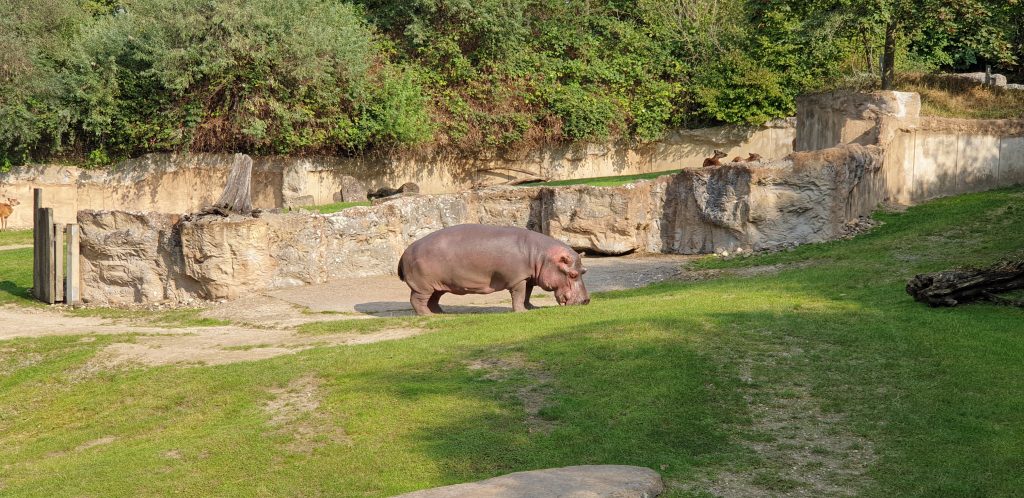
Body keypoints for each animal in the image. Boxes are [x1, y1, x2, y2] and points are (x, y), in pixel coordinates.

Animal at [398, 224, 590, 315]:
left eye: (584, 271)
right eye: (573, 274)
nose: (586, 300)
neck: (541, 255)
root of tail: (406, 251)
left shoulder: (527, 277)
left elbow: (527, 293)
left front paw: (531, 307)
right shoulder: (518, 279)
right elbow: (519, 295)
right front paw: (521, 311)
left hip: (438, 284)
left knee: (433, 300)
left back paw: (440, 313)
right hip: (423, 286)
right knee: (417, 300)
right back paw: (427, 316)